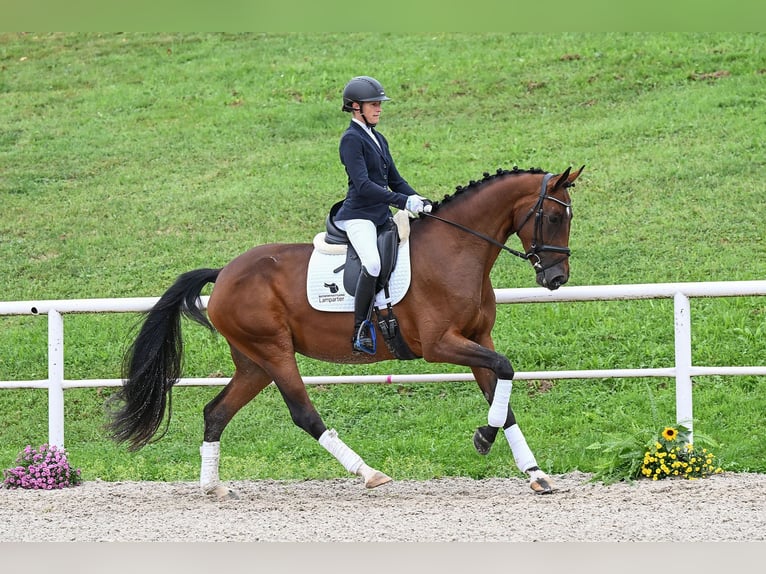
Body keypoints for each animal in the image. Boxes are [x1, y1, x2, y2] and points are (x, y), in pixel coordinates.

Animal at [108, 164, 584, 498]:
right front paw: (484, 439)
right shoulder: (441, 344)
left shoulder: (477, 339)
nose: (556, 278)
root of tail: (224, 273)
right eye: (553, 217)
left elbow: (503, 393)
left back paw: (212, 487)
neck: (455, 250)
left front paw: (535, 473)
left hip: (254, 362)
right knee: (303, 414)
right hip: (275, 353)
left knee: (216, 413)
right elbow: (504, 370)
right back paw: (369, 473)